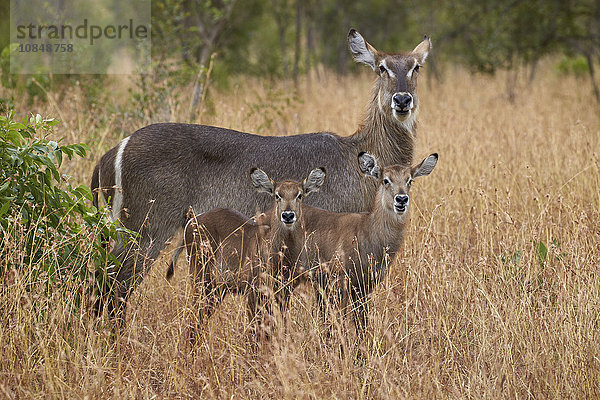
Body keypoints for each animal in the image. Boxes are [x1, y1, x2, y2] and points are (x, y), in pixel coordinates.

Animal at [176, 167, 326, 336]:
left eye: (299, 195)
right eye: (277, 195)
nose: (288, 215)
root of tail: (191, 220)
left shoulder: (284, 292)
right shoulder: (253, 291)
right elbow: (256, 332)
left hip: (217, 288)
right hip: (201, 279)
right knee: (194, 319)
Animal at [308, 153, 438, 334]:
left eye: (410, 180)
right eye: (386, 180)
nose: (401, 199)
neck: (367, 230)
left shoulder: (366, 285)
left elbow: (361, 321)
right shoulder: (346, 283)